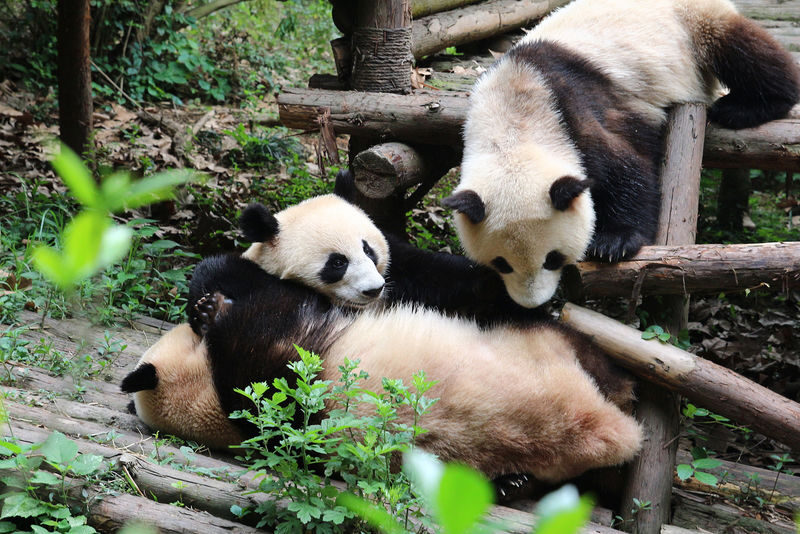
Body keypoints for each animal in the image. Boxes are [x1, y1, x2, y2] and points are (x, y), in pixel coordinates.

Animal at [122, 252, 642, 486]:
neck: (209, 397)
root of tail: (599, 428)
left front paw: (205, 309)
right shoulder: (275, 364)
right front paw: (210, 306)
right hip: (532, 346)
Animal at [442, 0, 800, 308]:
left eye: (553, 258)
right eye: (501, 263)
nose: (535, 302)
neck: (512, 125)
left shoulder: (573, 113)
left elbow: (625, 168)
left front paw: (612, 243)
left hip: (694, 24)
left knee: (746, 52)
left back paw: (745, 107)